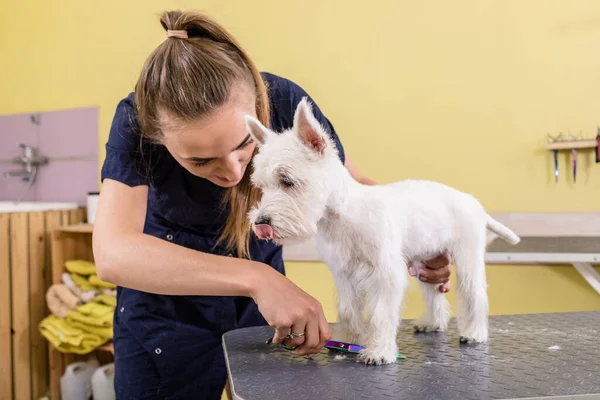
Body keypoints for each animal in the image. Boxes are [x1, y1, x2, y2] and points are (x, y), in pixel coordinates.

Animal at [244, 97, 520, 366]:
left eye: (287, 181)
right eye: (262, 186)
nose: (261, 223)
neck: (341, 217)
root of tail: (474, 204)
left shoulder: (385, 274)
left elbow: (380, 314)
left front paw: (378, 352)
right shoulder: (344, 275)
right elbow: (348, 311)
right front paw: (347, 341)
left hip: (467, 259)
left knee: (475, 295)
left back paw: (474, 333)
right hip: (425, 261)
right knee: (434, 294)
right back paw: (432, 323)